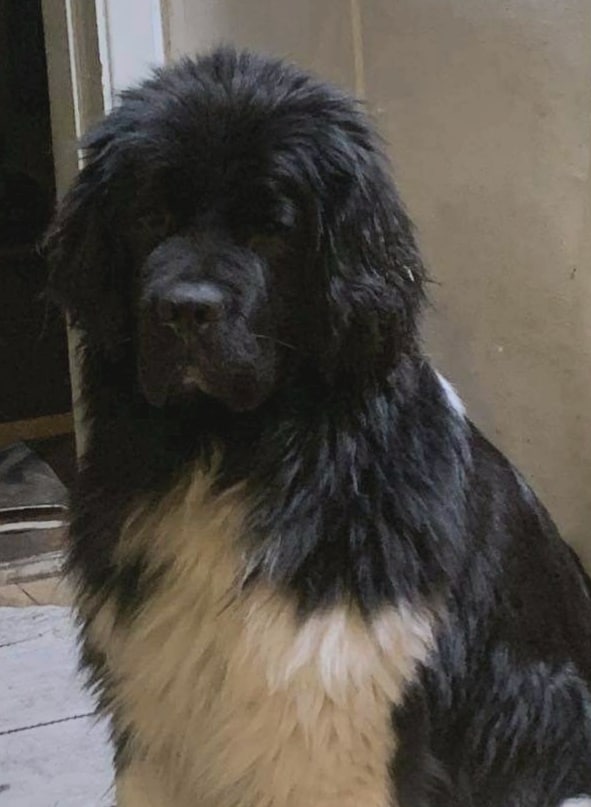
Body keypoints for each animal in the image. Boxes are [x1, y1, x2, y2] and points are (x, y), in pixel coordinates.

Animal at [45, 47, 591, 806]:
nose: (184, 309)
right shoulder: (156, 714)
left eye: (272, 227)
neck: (229, 454)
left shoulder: (336, 717)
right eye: (149, 216)